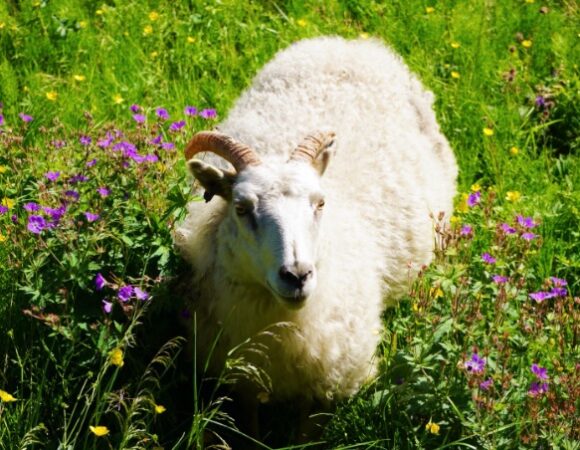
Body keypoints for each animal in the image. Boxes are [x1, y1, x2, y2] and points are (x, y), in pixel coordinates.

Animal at [173, 37, 458, 438]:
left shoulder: (328, 381)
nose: (297, 275)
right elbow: (249, 424)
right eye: (241, 207)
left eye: (320, 202)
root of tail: (350, 44)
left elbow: (305, 435)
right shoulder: (242, 374)